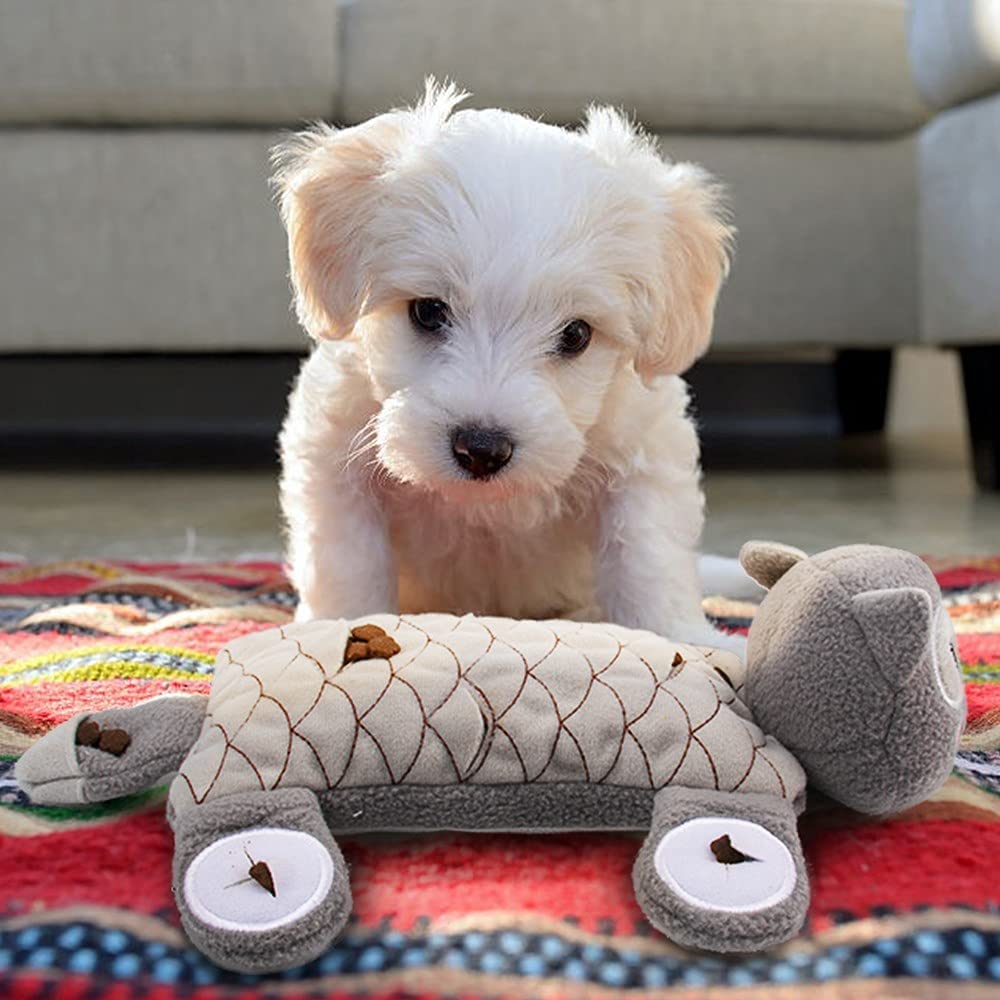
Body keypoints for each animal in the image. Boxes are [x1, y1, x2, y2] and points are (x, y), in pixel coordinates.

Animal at [278, 84, 740, 648]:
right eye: (427, 311)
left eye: (576, 334)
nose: (481, 449)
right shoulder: (333, 459)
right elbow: (346, 563)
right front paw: (339, 627)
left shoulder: (644, 456)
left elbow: (649, 557)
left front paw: (682, 638)